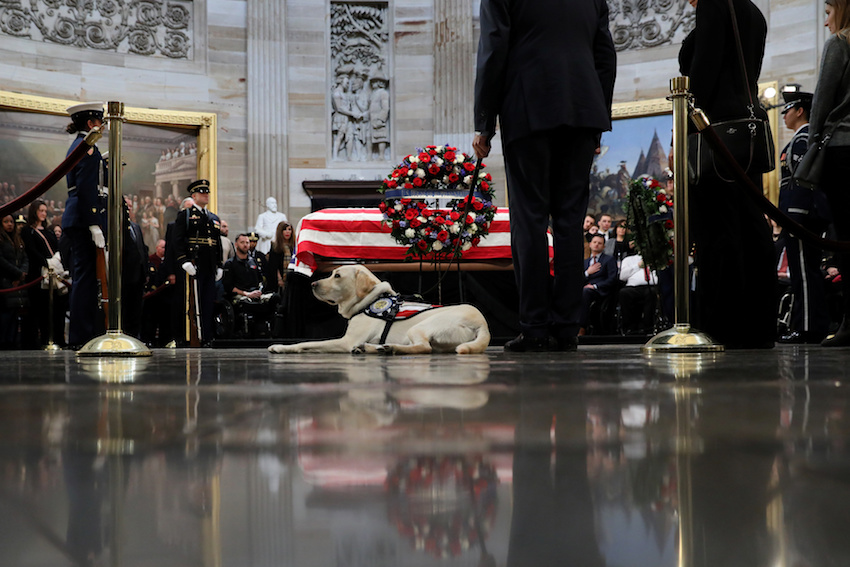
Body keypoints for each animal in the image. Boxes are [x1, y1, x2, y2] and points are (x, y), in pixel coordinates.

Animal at [264, 266, 490, 356]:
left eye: (337, 276)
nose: (312, 284)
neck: (368, 301)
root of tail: (482, 324)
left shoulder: (346, 341)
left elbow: (306, 343)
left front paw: (281, 347)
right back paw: (375, 348)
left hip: (420, 327)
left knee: (423, 348)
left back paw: (388, 348)